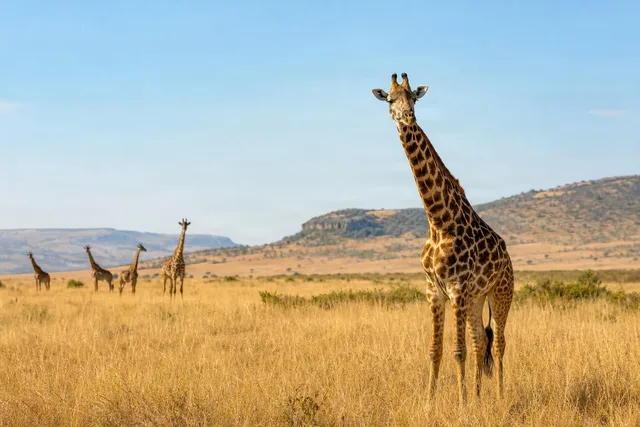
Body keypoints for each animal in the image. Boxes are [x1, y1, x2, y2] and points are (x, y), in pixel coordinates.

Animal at [372, 73, 514, 404]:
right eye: (390, 100)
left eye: (413, 97)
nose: (407, 117)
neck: (438, 220)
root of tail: (508, 256)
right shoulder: (434, 290)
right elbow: (435, 350)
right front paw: (430, 402)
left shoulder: (457, 289)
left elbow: (457, 351)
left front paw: (461, 404)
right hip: (476, 299)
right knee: (481, 341)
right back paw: (480, 396)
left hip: (501, 293)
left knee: (499, 342)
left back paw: (500, 395)